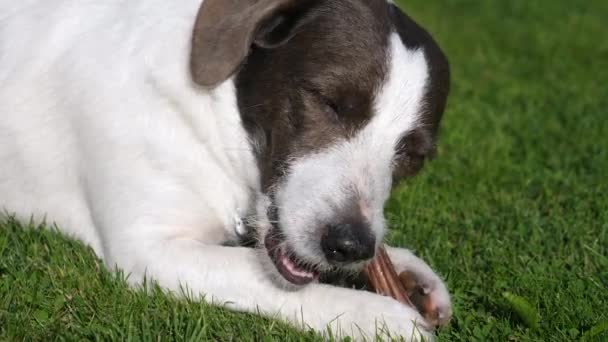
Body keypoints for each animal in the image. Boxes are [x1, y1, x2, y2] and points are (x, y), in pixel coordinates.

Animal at [0, 0, 452, 340]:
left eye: (413, 155)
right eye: (330, 102)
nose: (350, 245)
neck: (209, 119)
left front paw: (409, 271)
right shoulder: (147, 251)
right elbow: (257, 275)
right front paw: (375, 317)